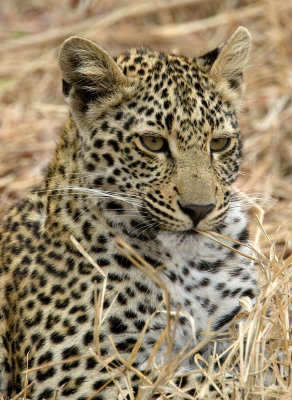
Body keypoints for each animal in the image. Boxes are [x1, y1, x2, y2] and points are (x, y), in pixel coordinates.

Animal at [0, 26, 256, 398]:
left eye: (219, 144)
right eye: (153, 143)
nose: (200, 209)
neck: (188, 266)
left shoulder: (235, 329)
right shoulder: (71, 370)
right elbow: (193, 384)